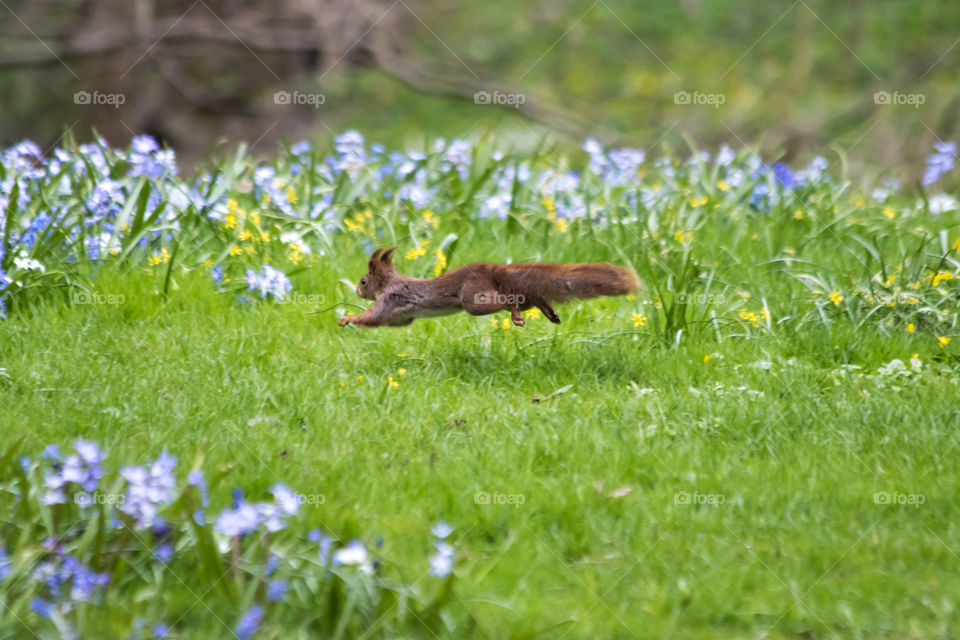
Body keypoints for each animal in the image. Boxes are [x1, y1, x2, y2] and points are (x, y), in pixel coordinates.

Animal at [342, 246, 640, 328]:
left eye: (364, 281)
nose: (357, 291)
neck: (388, 282)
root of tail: (493, 269)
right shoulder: (401, 314)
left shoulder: (390, 299)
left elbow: (373, 316)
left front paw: (347, 318)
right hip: (512, 293)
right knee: (531, 298)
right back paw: (549, 313)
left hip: (473, 300)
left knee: (507, 301)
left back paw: (516, 315)